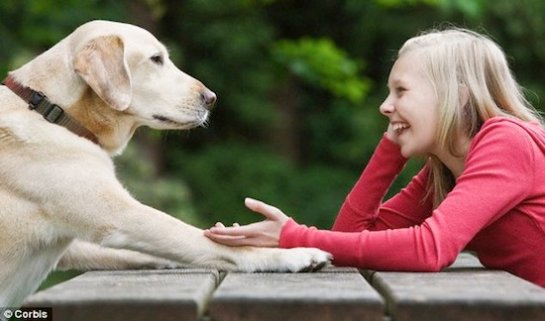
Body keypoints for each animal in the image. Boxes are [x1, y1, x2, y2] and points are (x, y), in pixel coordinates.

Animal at [0, 20, 330, 308]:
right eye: (156, 59)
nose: (211, 98)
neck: (51, 109)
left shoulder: (76, 246)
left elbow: (159, 250)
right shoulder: (121, 216)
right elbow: (204, 241)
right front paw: (293, 255)